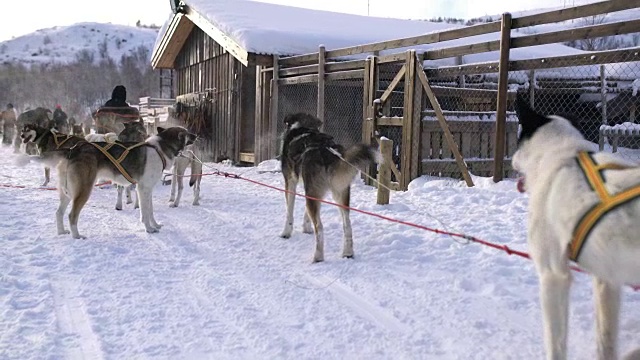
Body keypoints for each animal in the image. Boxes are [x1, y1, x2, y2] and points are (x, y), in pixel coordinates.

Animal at [55, 126, 195, 239]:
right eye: (187, 133)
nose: (197, 135)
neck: (159, 149)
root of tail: (73, 150)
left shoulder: (147, 190)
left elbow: (150, 210)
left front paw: (155, 225)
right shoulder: (143, 189)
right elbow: (145, 212)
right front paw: (149, 229)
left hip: (68, 193)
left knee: (59, 212)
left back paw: (61, 232)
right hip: (83, 190)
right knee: (71, 215)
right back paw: (77, 236)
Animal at [278, 112, 378, 262]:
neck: (303, 127)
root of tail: (326, 152)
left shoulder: (290, 182)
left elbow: (289, 212)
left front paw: (286, 233)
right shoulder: (310, 190)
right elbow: (305, 213)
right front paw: (306, 228)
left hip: (316, 193)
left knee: (320, 227)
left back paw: (318, 256)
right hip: (339, 194)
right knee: (347, 224)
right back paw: (348, 253)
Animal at [512, 97, 640, 360]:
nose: (512, 159)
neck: (563, 153)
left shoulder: (553, 275)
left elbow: (556, 346)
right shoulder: (606, 279)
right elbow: (605, 344)